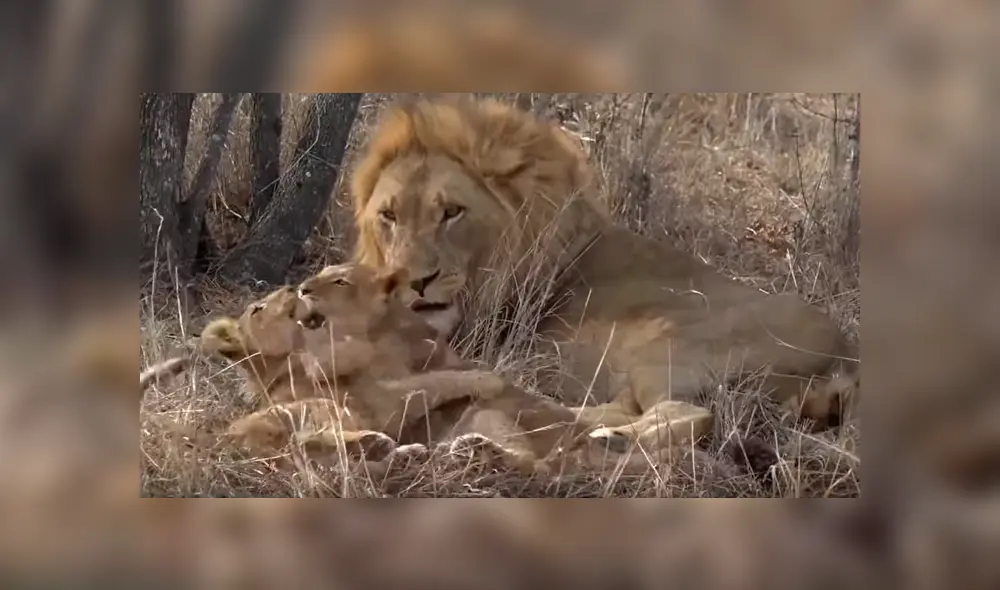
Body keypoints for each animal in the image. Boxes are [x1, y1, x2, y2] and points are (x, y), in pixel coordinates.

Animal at [349, 97, 860, 451]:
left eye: (452, 212)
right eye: (389, 216)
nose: (414, 281)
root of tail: (848, 358)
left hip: (668, 346)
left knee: (693, 414)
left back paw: (603, 436)